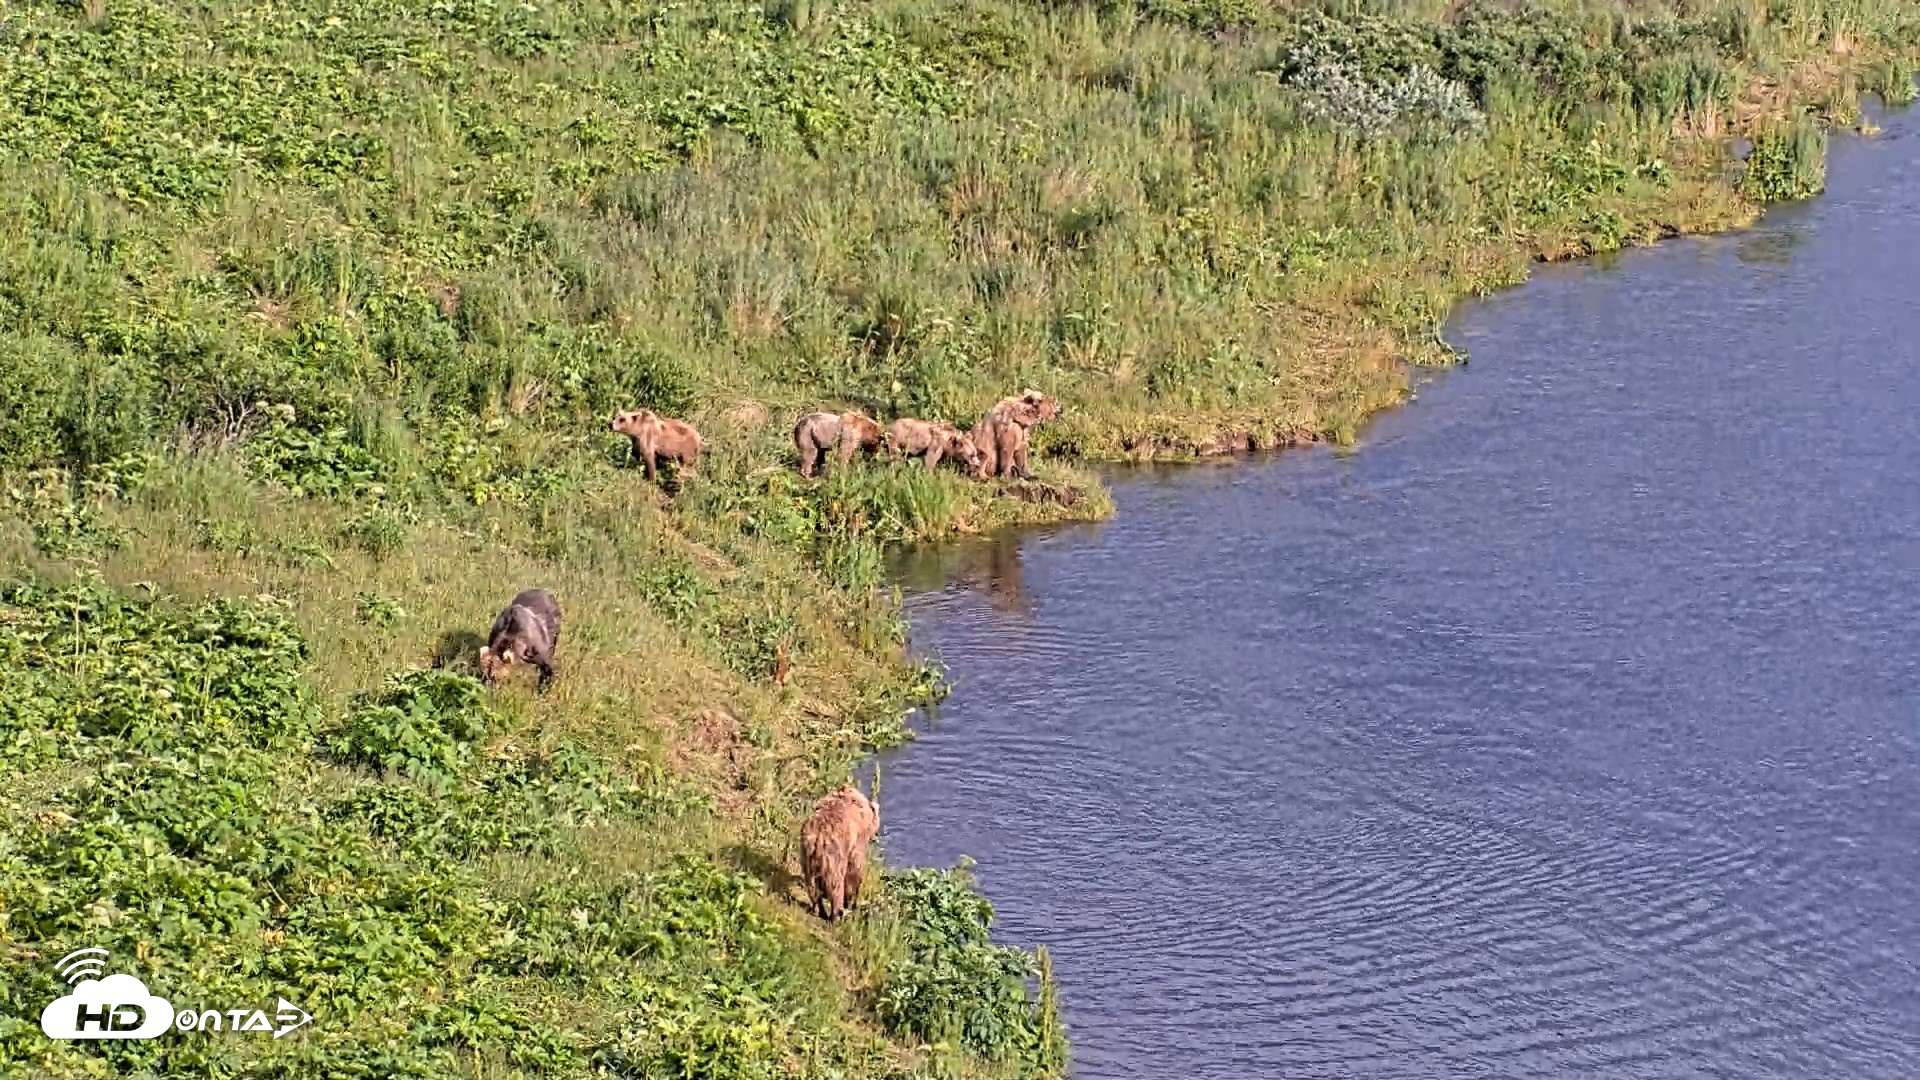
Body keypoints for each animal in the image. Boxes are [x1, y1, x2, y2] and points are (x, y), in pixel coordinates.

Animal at [799, 782, 880, 922]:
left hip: (807, 854)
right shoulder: (857, 840)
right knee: (835, 881)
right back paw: (837, 913)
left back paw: (819, 909)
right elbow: (854, 868)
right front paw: (852, 901)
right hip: (833, 853)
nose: (877, 835)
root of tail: (818, 837)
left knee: (812, 884)